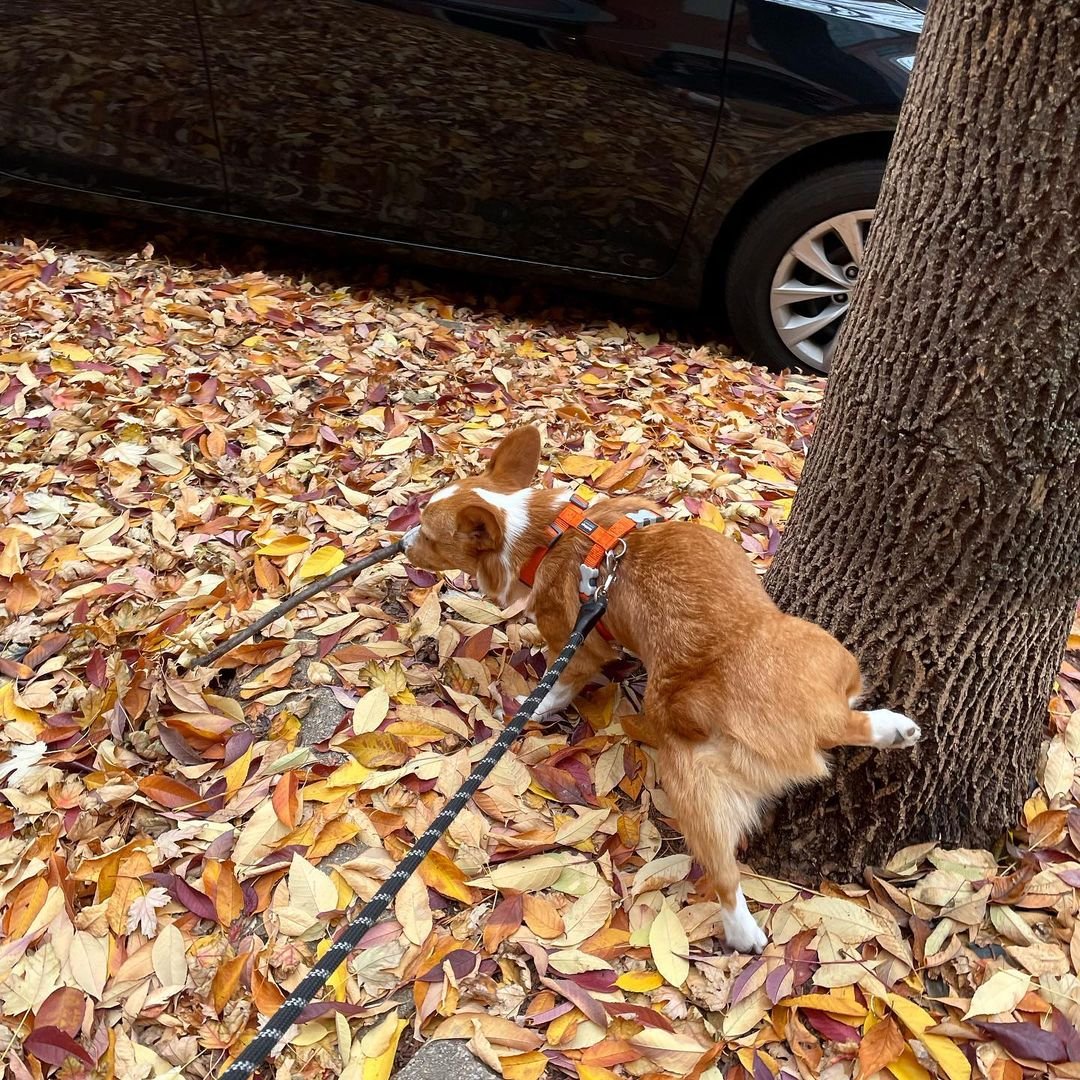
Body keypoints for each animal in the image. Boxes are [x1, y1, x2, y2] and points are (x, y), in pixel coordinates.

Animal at [406, 425, 920, 950]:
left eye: (427, 533)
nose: (402, 539)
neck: (549, 533)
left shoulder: (577, 648)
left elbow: (562, 679)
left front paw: (541, 704)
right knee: (730, 866)